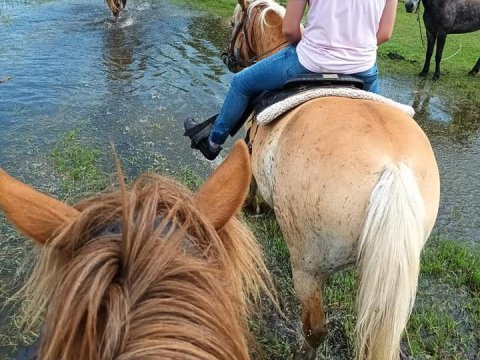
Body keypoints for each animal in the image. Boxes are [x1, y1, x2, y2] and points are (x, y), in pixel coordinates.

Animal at [227, 1, 440, 358]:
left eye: (233, 24)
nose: (229, 61)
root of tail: (393, 169)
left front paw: (253, 208)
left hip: (308, 266)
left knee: (314, 328)